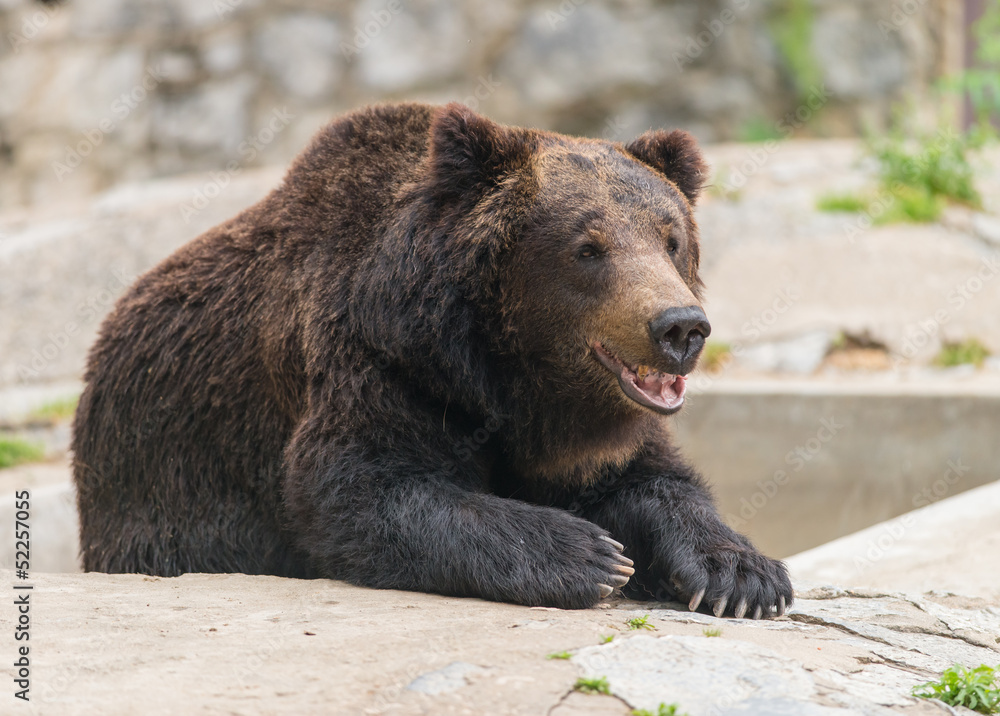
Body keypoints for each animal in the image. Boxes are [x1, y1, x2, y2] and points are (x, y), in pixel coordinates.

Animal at [72, 102, 792, 617]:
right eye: (589, 247)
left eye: (671, 239)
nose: (680, 327)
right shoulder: (380, 365)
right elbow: (361, 488)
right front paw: (588, 554)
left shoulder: (586, 432)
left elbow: (654, 481)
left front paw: (743, 575)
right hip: (155, 481)